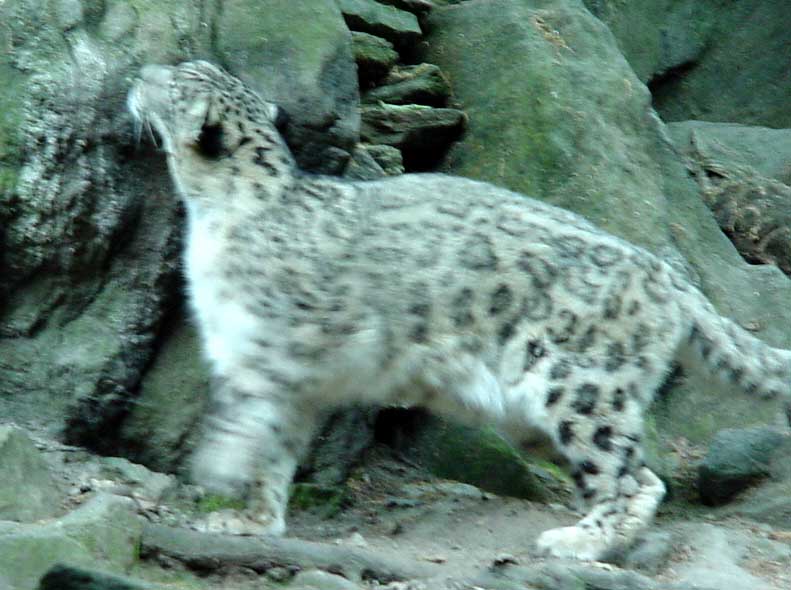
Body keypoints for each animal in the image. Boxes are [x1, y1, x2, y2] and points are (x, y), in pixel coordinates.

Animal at [127, 60, 791, 561]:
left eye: (177, 80)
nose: (138, 74)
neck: (215, 216)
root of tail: (666, 274)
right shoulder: (287, 378)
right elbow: (275, 448)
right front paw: (254, 520)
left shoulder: (269, 355)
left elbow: (247, 425)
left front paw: (216, 472)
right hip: (534, 416)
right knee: (643, 474)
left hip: (580, 386)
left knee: (622, 474)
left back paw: (580, 542)